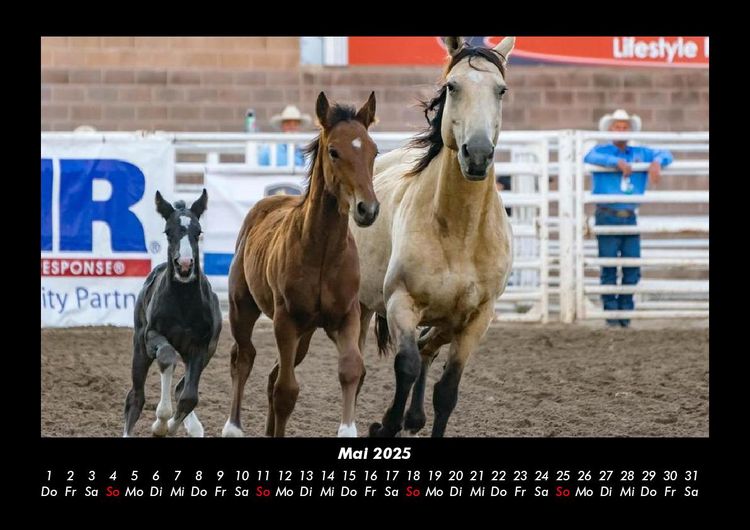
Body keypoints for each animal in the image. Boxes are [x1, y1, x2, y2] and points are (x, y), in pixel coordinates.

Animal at [123, 189, 222, 437]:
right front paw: (160, 422)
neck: (183, 302)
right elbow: (167, 356)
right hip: (139, 348)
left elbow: (189, 397)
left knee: (180, 388)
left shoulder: (200, 347)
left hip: (207, 352)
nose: (184, 265)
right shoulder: (151, 336)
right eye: (168, 232)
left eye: (198, 232)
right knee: (135, 397)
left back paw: (194, 427)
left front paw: (169, 427)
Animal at [221, 91, 379, 438]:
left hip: (305, 335)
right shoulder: (286, 321)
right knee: (244, 357)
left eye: (374, 151)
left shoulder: (347, 316)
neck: (322, 253)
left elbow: (351, 369)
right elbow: (286, 391)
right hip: (243, 308)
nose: (368, 209)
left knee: (271, 374)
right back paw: (233, 427)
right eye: (334, 151)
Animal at [350, 36, 516, 437]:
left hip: (446, 320)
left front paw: (408, 418)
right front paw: (386, 425)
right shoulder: (401, 302)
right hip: (361, 305)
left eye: (501, 90)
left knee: (428, 349)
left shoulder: (476, 319)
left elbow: (447, 391)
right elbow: (405, 366)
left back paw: (414, 417)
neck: (460, 232)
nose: (478, 154)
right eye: (452, 87)